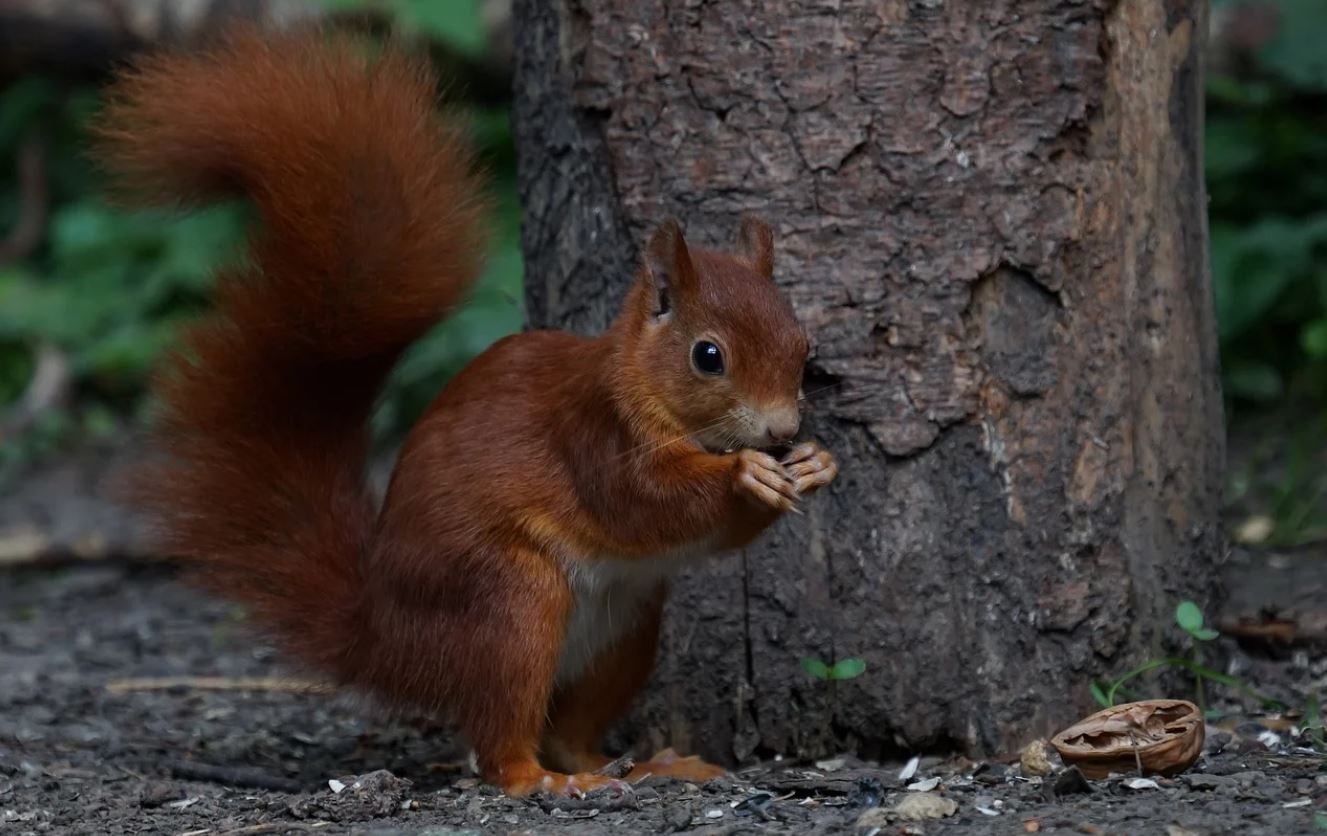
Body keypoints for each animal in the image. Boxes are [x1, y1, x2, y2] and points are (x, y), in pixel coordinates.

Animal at [98, 24, 833, 801]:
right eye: (707, 356)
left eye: (804, 344)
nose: (782, 431)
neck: (643, 387)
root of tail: (384, 638)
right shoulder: (591, 434)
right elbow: (643, 500)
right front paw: (745, 475)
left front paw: (816, 463)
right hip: (510, 603)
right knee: (500, 748)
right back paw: (548, 782)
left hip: (627, 623)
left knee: (569, 729)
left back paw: (640, 765)